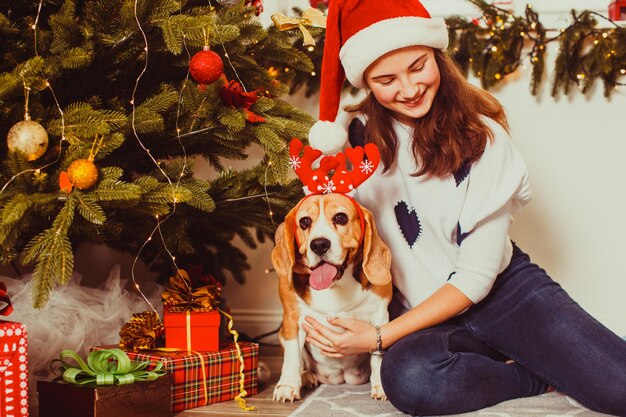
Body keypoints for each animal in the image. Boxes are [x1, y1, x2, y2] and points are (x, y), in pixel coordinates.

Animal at [270, 193, 388, 404]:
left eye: (340, 217)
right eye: (304, 221)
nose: (319, 245)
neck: (335, 286)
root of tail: (339, 377)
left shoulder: (381, 316)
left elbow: (377, 356)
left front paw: (380, 385)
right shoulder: (292, 319)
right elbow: (292, 357)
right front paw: (287, 386)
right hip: (282, 333)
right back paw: (306, 377)